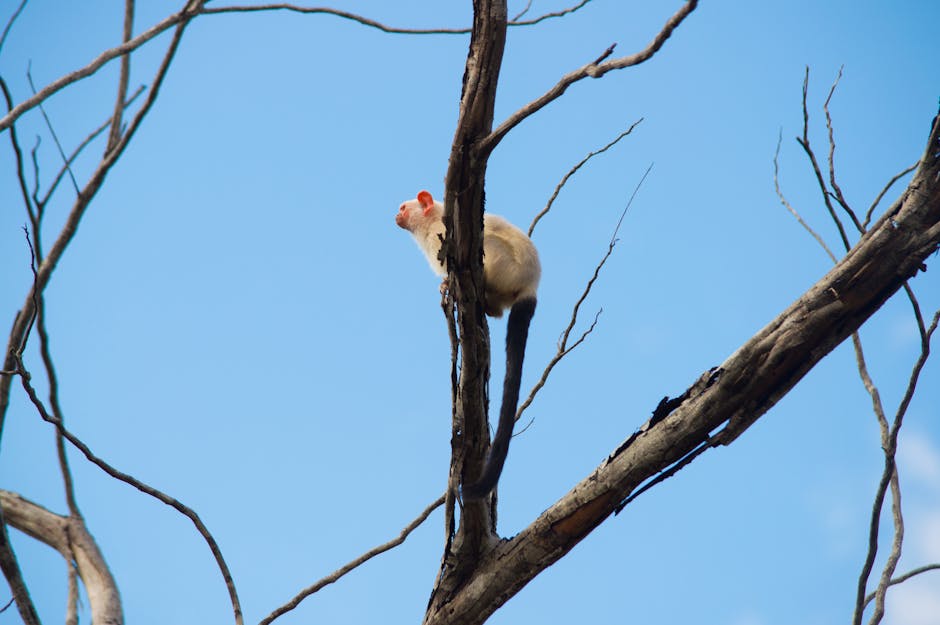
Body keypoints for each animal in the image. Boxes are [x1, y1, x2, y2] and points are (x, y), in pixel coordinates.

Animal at [395, 190, 540, 499]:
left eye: (403, 207)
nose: (395, 215)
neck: (430, 224)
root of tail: (530, 286)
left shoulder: (442, 237)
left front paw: (447, 282)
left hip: (503, 265)